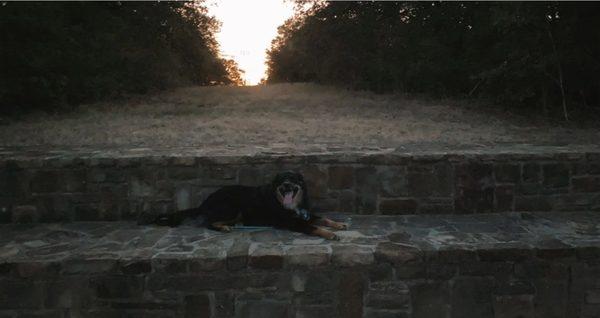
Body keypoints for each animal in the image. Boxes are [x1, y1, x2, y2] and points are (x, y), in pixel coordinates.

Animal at [137, 171, 346, 238]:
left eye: (293, 179)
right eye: (281, 180)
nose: (286, 185)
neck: (290, 204)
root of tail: (205, 202)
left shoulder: (306, 213)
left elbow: (323, 218)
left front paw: (338, 224)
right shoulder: (293, 222)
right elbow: (314, 227)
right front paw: (330, 234)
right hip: (232, 206)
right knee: (207, 223)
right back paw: (223, 228)